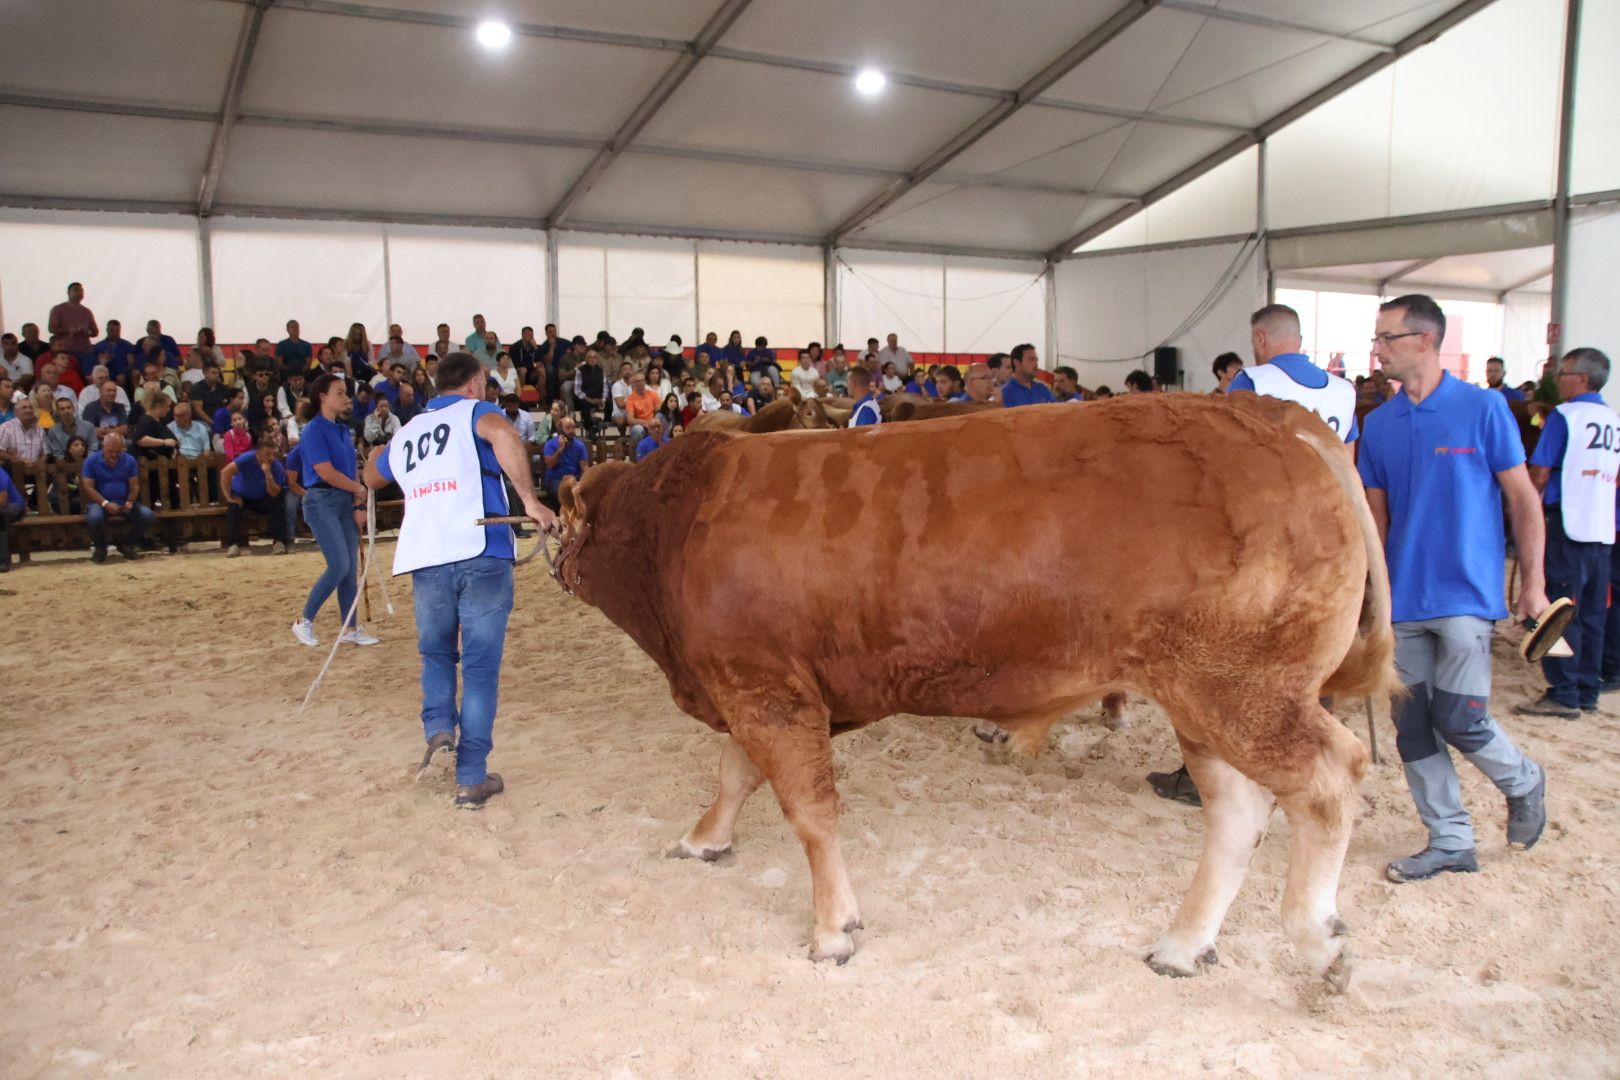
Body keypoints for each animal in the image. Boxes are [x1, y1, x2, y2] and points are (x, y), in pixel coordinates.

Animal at [557, 395, 1393, 990]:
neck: (679, 523)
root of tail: (1275, 416)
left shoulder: (764, 688)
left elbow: (808, 810)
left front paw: (832, 928)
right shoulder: (749, 684)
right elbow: (736, 775)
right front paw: (705, 838)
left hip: (1244, 692)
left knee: (1330, 780)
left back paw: (1319, 941)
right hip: (1204, 701)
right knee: (1238, 812)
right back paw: (1184, 945)